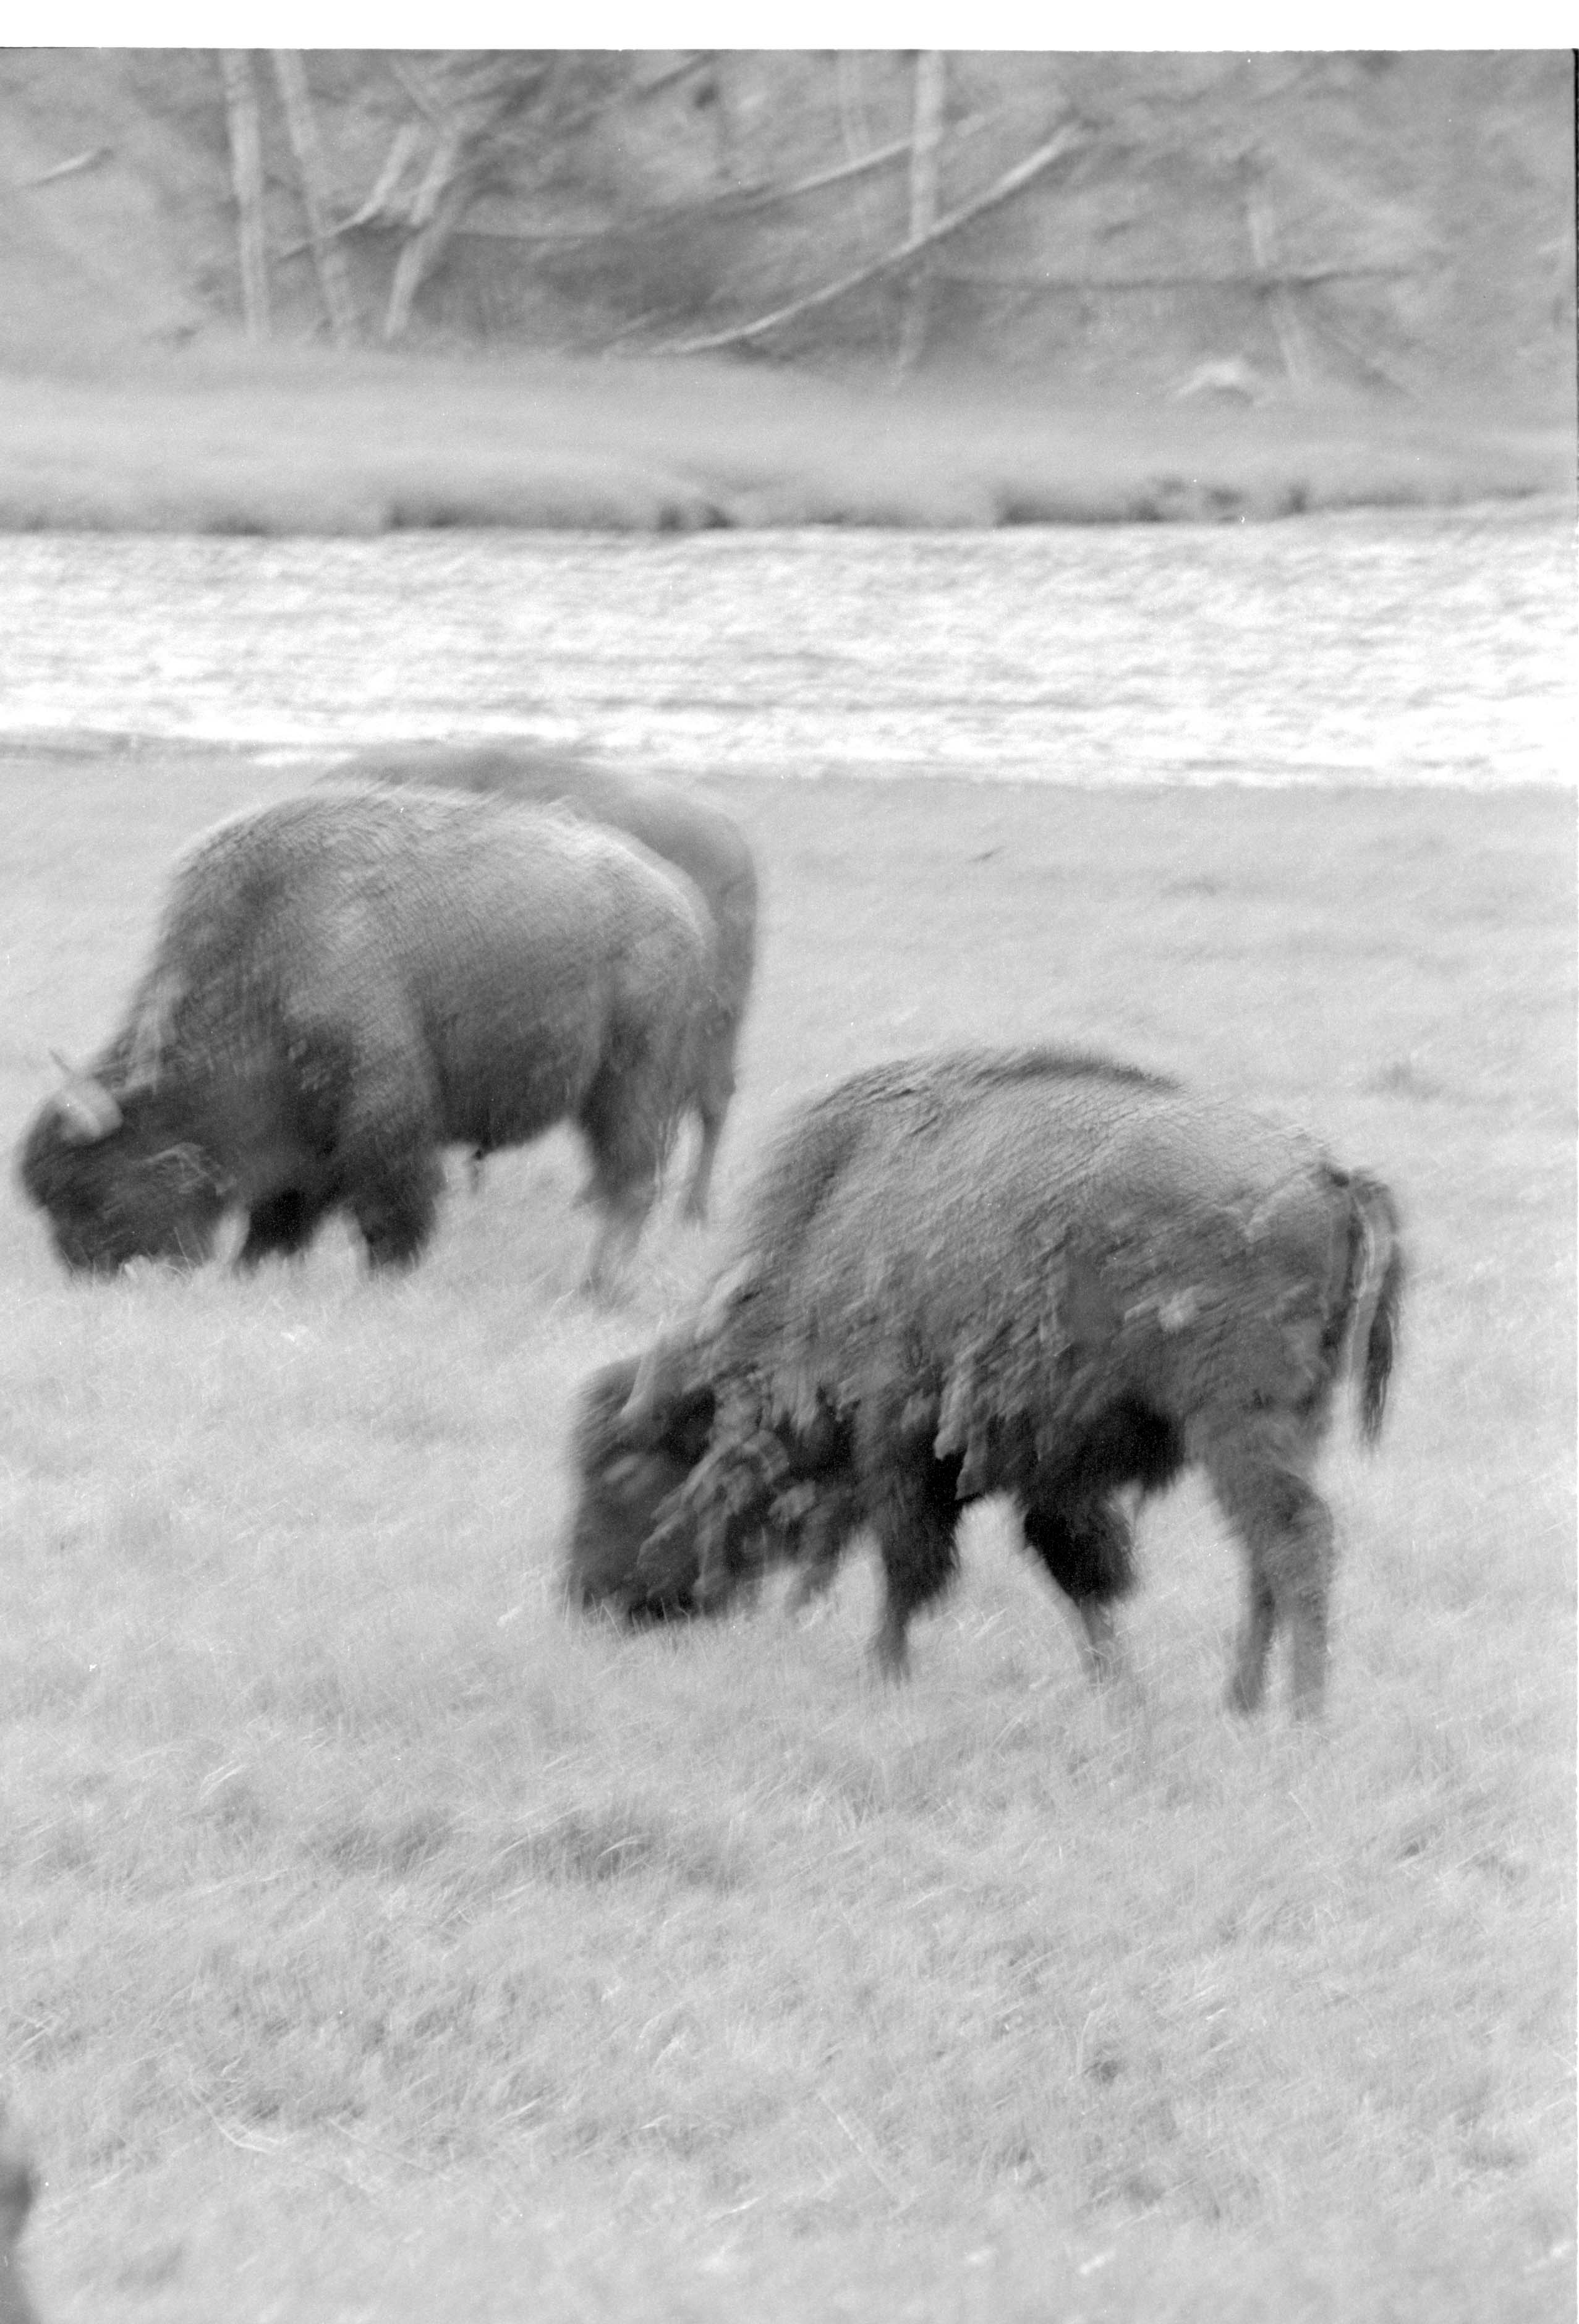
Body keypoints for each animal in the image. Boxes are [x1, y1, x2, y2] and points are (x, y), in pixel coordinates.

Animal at [20, 787, 712, 1289]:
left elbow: (385, 1206)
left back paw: (598, 1289)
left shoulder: (381, 1117)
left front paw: (385, 1277)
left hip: (631, 1084)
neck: (262, 967)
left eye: (93, 1190)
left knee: (628, 1181)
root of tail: (680, 902)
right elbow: (281, 1216)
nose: (87, 1273)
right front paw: (252, 1273)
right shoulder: (306, 1143)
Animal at [566, 1047, 1404, 1718]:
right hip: (1292, 1424)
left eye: (622, 1466)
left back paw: (1301, 1715)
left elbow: (910, 1562)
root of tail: (1331, 1176)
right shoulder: (1051, 1471)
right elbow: (1078, 1573)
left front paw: (883, 1671)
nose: (590, 1598)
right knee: (1263, 1551)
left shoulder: (901, 1441)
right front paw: (1116, 1691)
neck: (832, 1230)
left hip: (1237, 1422)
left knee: (1294, 1540)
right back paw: (1241, 1702)